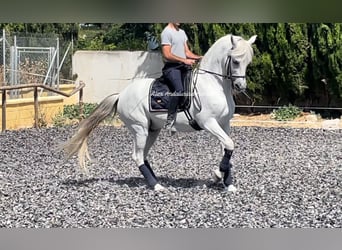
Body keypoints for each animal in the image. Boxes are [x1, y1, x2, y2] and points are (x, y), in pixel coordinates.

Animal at [63, 33, 256, 191]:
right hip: (139, 128)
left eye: (248, 62)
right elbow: (229, 145)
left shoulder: (224, 124)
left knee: (143, 155)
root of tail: (121, 94)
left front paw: (226, 182)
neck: (213, 84)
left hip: (152, 129)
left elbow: (228, 147)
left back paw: (157, 181)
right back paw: (156, 186)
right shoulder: (208, 122)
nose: (240, 86)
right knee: (137, 156)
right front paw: (218, 175)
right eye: (236, 61)